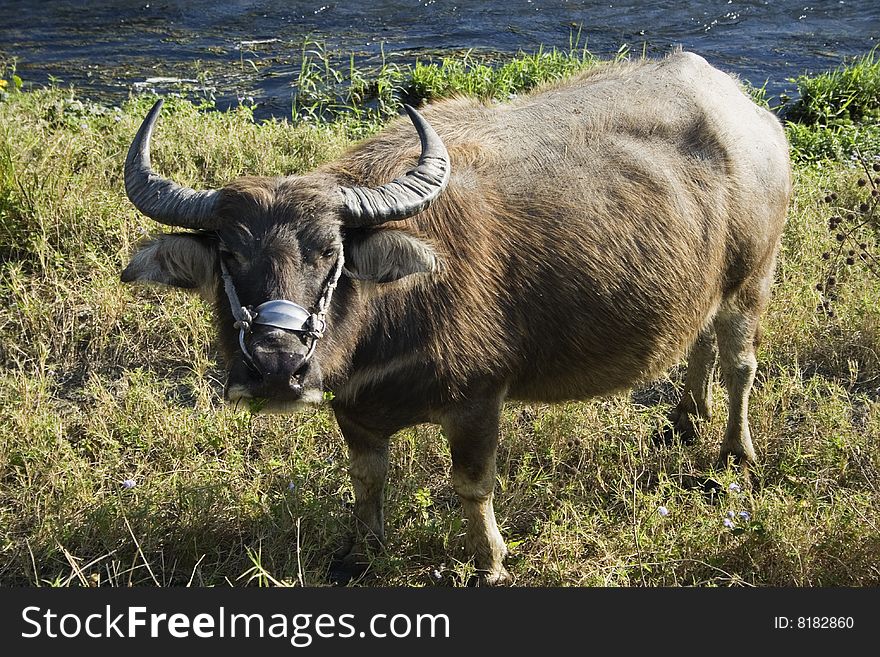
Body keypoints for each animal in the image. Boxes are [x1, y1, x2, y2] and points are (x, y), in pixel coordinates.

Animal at [118, 51, 792, 584]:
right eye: (230, 254)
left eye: (331, 254)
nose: (276, 367)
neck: (390, 314)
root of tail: (746, 109)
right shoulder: (352, 410)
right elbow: (367, 479)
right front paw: (360, 552)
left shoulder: (478, 399)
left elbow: (473, 484)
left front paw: (490, 561)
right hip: (707, 288)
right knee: (699, 341)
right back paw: (684, 418)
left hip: (752, 279)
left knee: (740, 364)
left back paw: (734, 453)